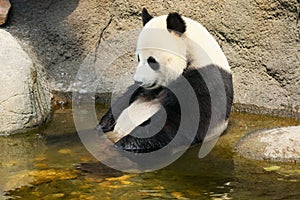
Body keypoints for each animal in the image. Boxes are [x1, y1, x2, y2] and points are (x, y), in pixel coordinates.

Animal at [97, 8, 233, 153]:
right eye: (138, 58)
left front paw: (123, 145)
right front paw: (103, 124)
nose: (138, 81)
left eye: (152, 61)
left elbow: (179, 123)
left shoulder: (206, 81)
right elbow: (123, 100)